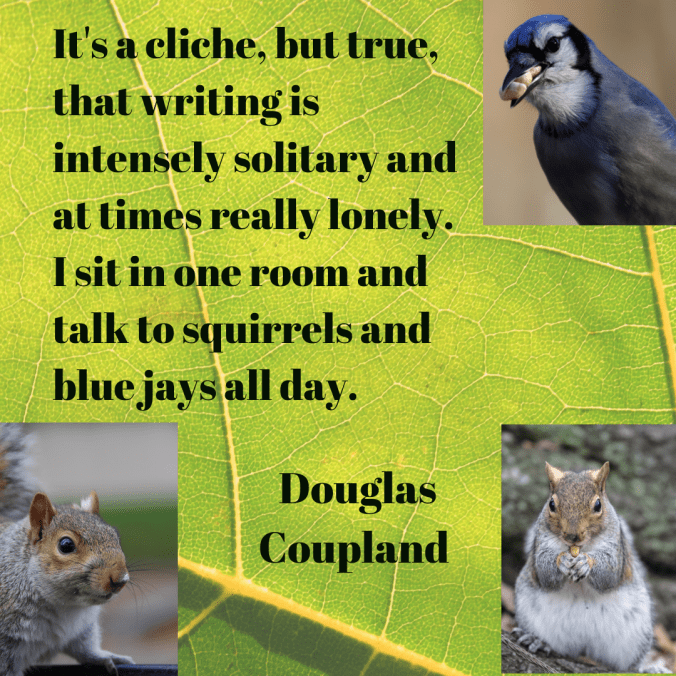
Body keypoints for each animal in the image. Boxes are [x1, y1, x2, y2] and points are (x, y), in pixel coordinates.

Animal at [0, 424, 134, 675]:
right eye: (66, 545)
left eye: (114, 535)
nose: (120, 579)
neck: (64, 606)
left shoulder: (81, 629)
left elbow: (85, 649)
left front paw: (106, 657)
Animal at [512, 461, 666, 673]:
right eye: (551, 504)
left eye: (598, 505)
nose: (573, 535)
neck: (581, 548)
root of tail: (584, 646)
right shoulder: (540, 543)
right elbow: (544, 571)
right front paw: (562, 561)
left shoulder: (615, 547)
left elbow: (608, 573)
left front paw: (587, 562)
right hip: (531, 614)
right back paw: (537, 641)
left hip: (636, 635)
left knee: (630, 665)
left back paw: (647, 668)